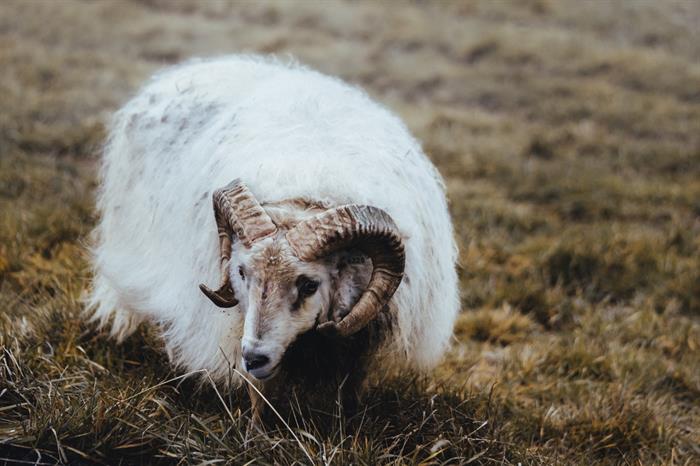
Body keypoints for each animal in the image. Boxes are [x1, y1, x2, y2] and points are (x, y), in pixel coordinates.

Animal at [87, 53, 460, 418]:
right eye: (241, 272)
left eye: (309, 285)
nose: (254, 357)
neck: (306, 191)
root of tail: (201, 64)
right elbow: (259, 395)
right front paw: (257, 429)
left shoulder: (358, 340)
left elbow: (348, 390)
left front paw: (346, 422)